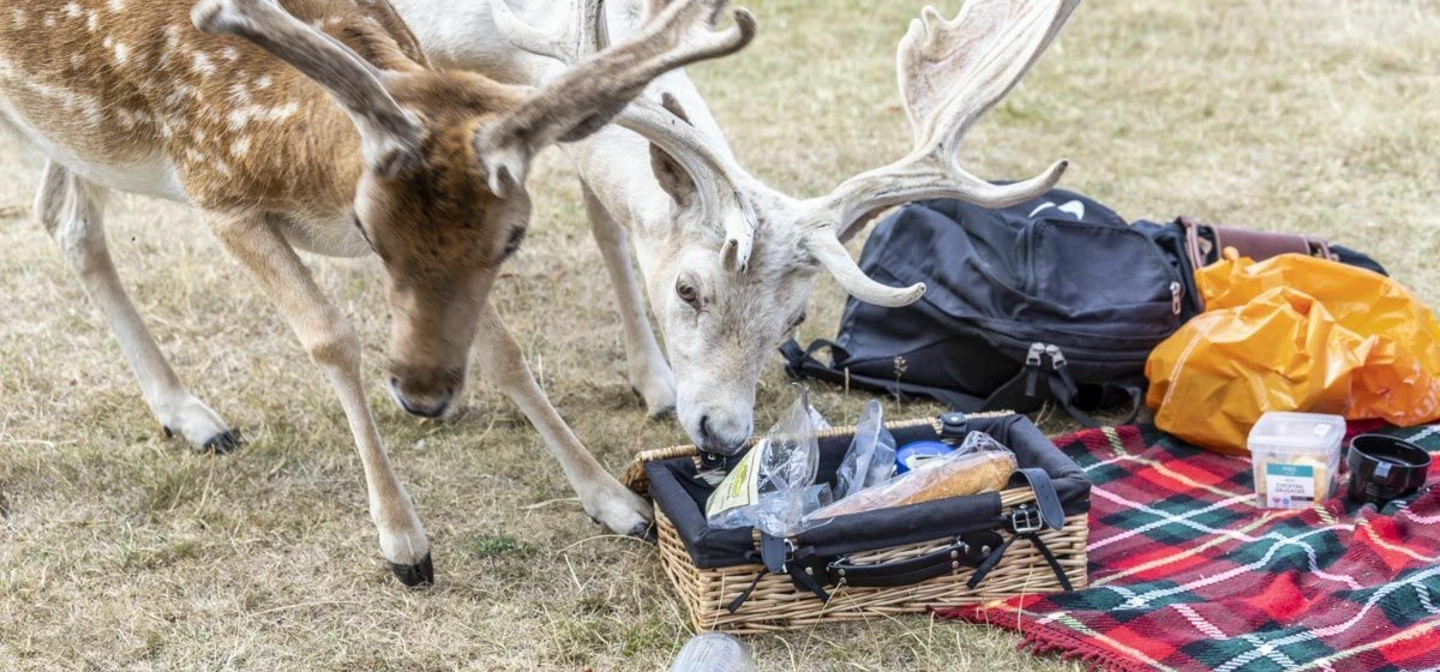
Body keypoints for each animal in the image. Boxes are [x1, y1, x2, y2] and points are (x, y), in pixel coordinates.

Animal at [0, 0, 760, 587]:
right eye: (368, 222)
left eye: (513, 237)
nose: (421, 397)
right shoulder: (216, 195)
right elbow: (330, 337)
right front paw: (405, 546)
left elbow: (505, 354)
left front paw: (616, 504)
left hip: (68, 136)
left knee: (65, 219)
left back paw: (189, 416)